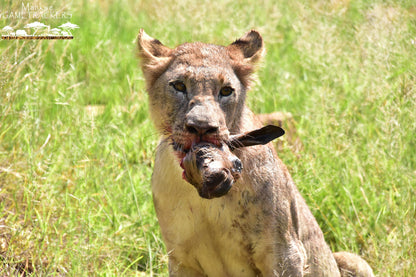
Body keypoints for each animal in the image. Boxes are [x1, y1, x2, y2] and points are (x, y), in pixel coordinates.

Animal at [136, 29, 374, 274]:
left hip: (352, 259)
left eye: (226, 91)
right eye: (179, 86)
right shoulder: (181, 258)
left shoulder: (284, 252)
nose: (202, 127)